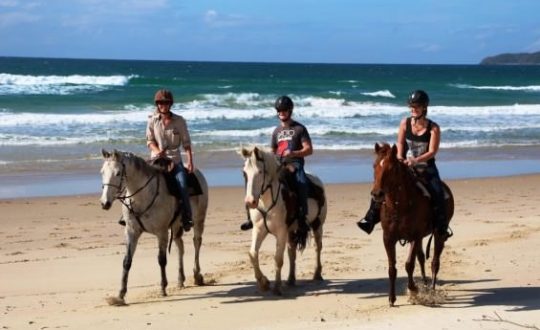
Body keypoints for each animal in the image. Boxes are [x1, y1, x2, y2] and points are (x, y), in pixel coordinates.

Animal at [99, 149, 209, 304]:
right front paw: (121, 294)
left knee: (197, 242)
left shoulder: (161, 232)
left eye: (118, 173)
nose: (105, 203)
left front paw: (163, 288)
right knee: (180, 247)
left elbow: (161, 260)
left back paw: (197, 275)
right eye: (102, 172)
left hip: (199, 220)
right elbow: (127, 261)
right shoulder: (131, 231)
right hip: (176, 226)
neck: (142, 197)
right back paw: (180, 279)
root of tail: (196, 171)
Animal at [239, 146, 324, 296]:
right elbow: (253, 254)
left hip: (318, 224)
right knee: (292, 252)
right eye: (244, 173)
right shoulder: (259, 229)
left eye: (260, 172)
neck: (267, 201)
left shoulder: (281, 232)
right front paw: (264, 283)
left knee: (317, 247)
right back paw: (290, 279)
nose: (250, 202)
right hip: (292, 231)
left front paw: (277, 287)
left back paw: (317, 274)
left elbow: (278, 259)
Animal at [370, 142, 454, 306]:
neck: (399, 206)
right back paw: (425, 284)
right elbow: (392, 268)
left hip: (438, 234)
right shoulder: (388, 238)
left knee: (434, 262)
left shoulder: (414, 236)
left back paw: (432, 290)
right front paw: (392, 298)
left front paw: (413, 289)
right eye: (374, 165)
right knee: (421, 258)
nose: (377, 194)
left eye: (392, 168)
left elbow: (409, 264)